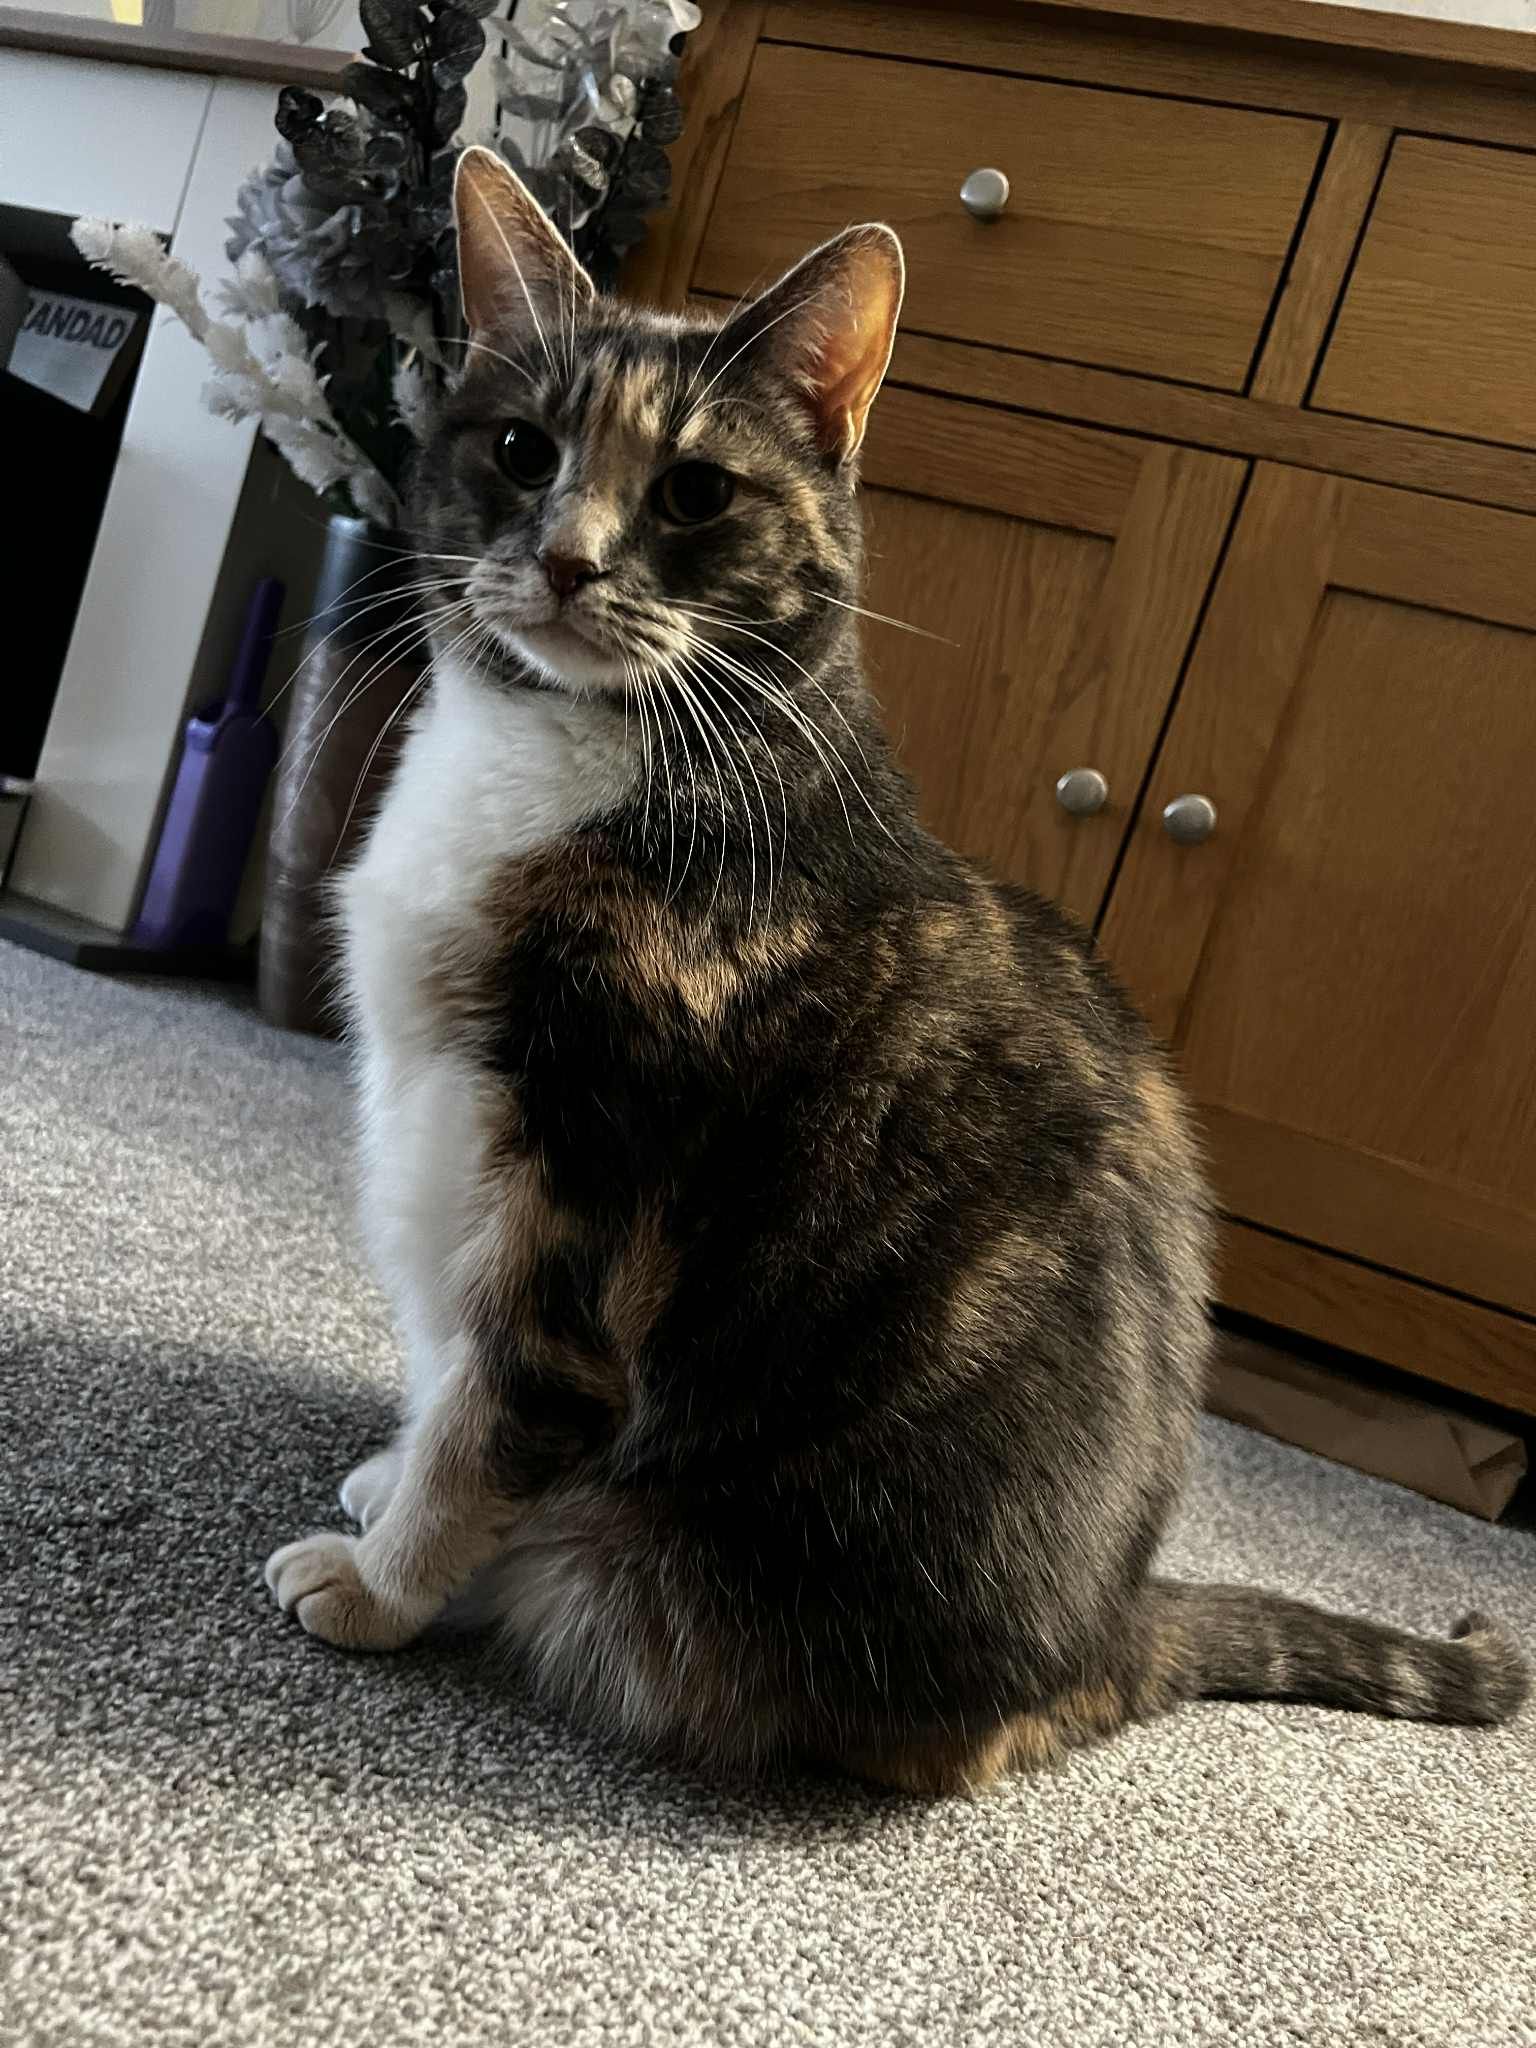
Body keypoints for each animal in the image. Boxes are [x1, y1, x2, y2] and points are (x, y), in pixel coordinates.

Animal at [264, 146, 1527, 1794]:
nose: (564, 559)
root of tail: (1115, 1630)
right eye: (522, 451)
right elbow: (444, 1367)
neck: (565, 760)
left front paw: (389, 1578)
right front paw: (388, 1476)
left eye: (693, 492)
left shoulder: (591, 1172)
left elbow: (503, 1399)